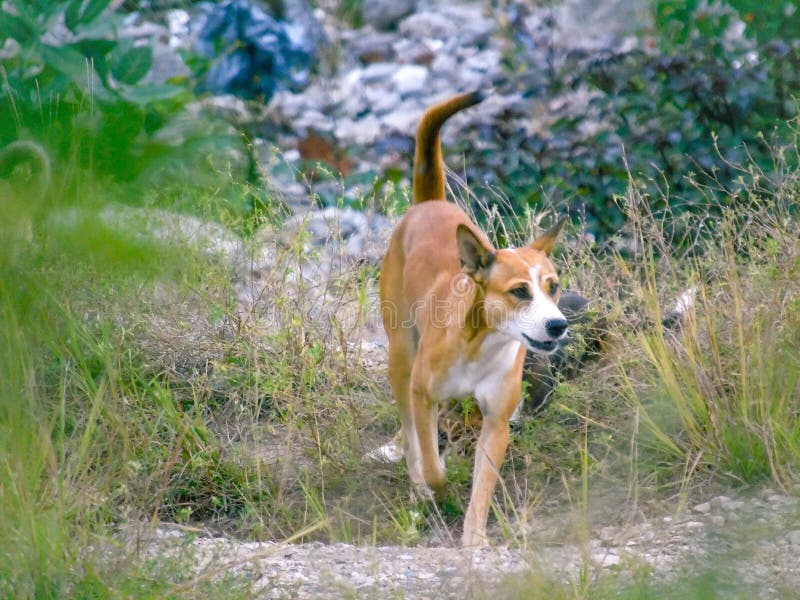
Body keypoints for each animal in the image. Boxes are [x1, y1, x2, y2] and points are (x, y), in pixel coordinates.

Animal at [376, 91, 568, 548]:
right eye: (519, 291)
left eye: (553, 286)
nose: (558, 325)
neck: (481, 344)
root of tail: (428, 205)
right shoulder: (422, 392)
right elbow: (430, 460)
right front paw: (435, 481)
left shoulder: (497, 421)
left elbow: (484, 485)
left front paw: (475, 538)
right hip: (400, 357)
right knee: (411, 432)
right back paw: (417, 483)